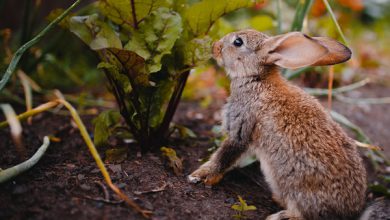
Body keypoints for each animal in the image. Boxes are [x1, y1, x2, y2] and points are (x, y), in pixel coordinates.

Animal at [187, 29, 386, 220]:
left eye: (238, 42)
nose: (215, 46)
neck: (256, 78)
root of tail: (352, 212)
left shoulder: (241, 128)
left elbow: (224, 157)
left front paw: (199, 176)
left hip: (294, 187)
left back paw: (280, 216)